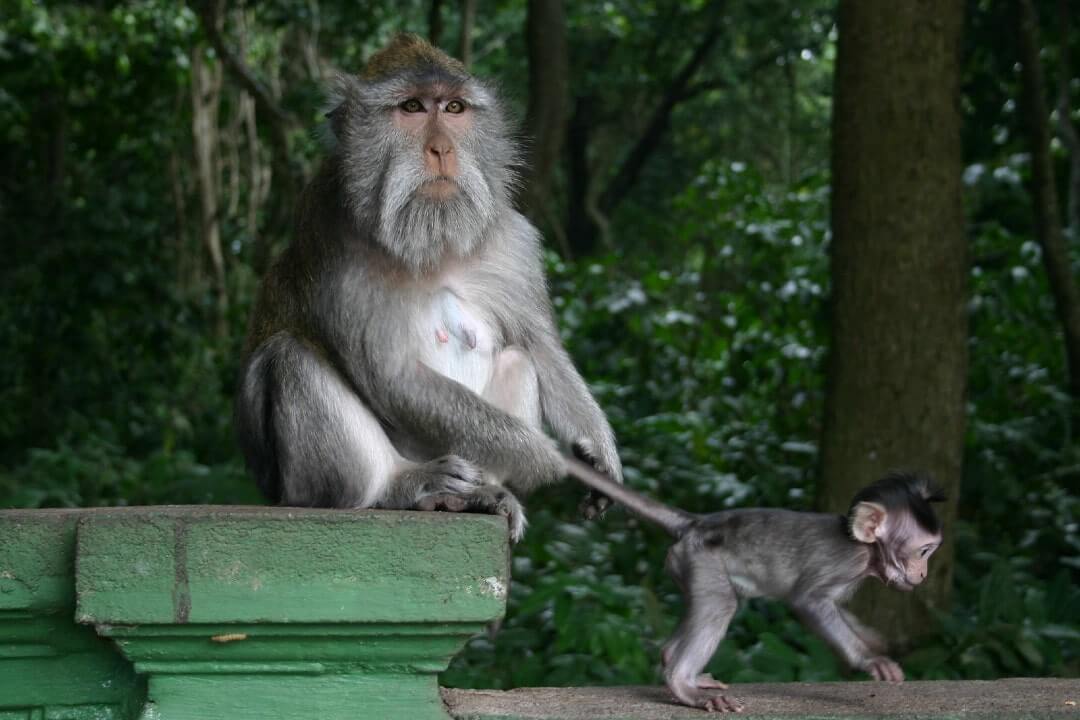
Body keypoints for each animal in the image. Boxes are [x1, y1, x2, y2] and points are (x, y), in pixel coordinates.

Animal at [239, 35, 622, 539]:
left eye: (454, 107)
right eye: (413, 107)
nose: (441, 150)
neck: (433, 245)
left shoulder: (512, 241)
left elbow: (538, 346)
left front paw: (597, 450)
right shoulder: (334, 245)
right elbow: (392, 375)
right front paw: (546, 457)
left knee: (518, 360)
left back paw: (480, 494)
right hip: (302, 485)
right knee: (289, 357)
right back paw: (401, 487)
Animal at [565, 459, 946, 712]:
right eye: (924, 551)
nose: (924, 574)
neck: (865, 550)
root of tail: (697, 523)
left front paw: (871, 639)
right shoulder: (845, 563)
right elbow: (809, 601)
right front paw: (870, 659)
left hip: (684, 564)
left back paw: (678, 665)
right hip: (702, 560)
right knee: (721, 604)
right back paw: (682, 683)